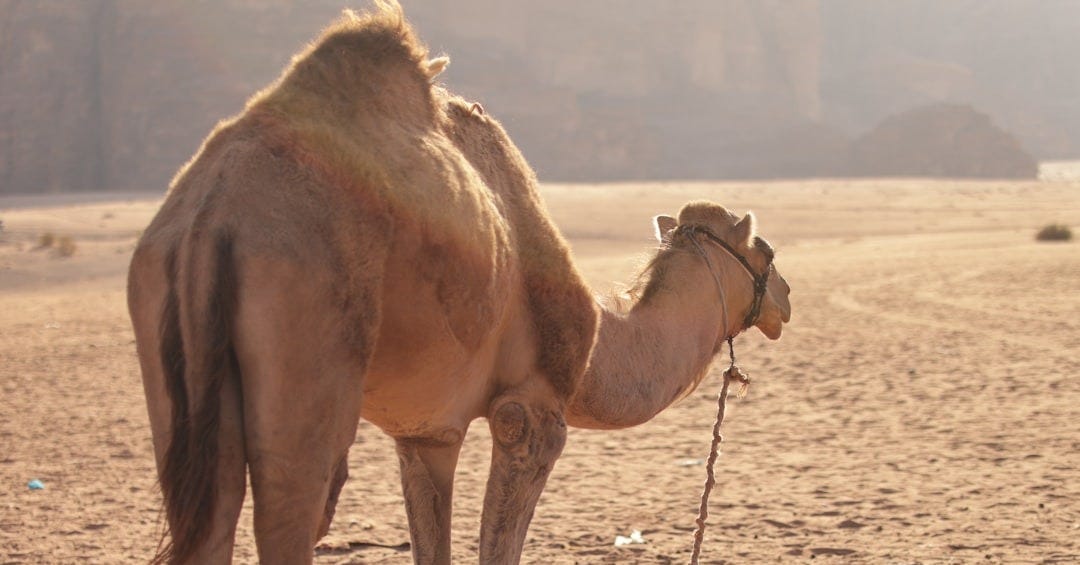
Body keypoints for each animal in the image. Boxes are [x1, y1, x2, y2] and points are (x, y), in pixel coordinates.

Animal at [126, 2, 791, 564]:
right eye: (763, 248)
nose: (784, 299)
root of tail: (214, 212)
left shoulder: (427, 433)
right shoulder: (530, 412)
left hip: (169, 341)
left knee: (210, 511)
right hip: (306, 330)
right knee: (292, 500)